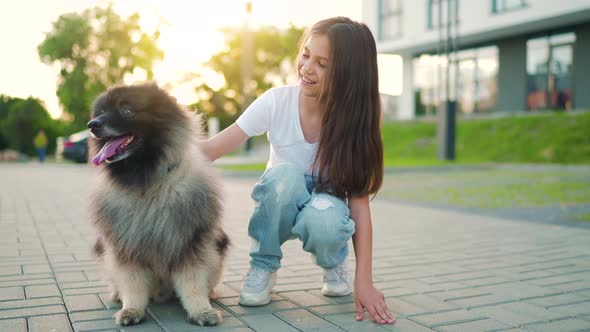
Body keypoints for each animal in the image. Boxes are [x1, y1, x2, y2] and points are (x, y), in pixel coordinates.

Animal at [88, 81, 229, 326]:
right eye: (101, 112)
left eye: (126, 110)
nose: (92, 125)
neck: (149, 183)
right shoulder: (126, 248)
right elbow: (132, 283)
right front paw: (131, 309)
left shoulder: (190, 243)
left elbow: (193, 284)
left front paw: (202, 310)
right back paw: (117, 294)